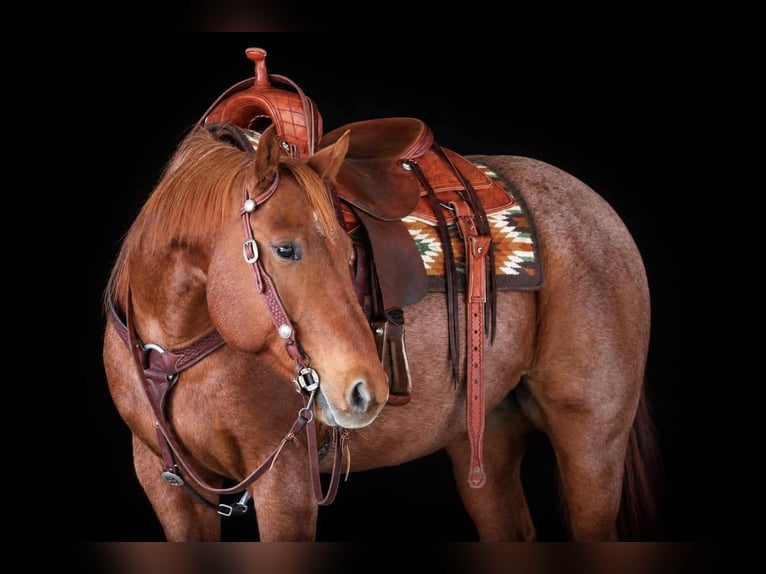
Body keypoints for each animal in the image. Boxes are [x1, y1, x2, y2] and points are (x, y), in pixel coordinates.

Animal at [103, 115, 660, 541]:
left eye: (350, 255)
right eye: (285, 249)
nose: (365, 389)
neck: (174, 349)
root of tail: (598, 209)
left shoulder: (285, 486)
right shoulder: (165, 486)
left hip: (592, 440)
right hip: (489, 437)